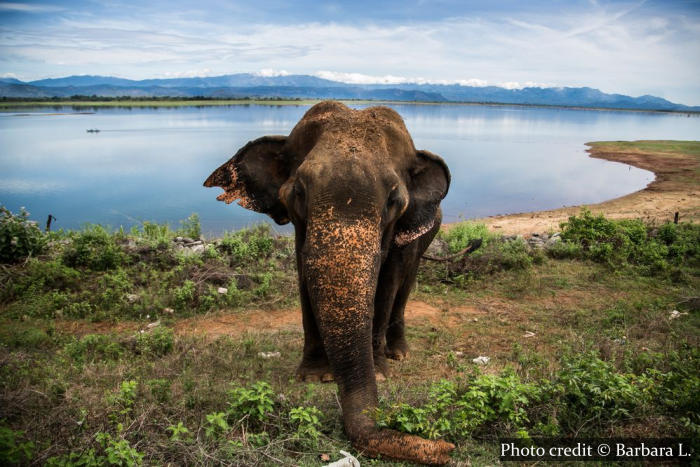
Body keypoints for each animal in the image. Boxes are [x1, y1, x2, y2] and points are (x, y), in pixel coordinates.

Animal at [204, 101, 454, 464]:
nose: (446, 449)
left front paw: (380, 371)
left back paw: (398, 354)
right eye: (298, 192)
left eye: (394, 200)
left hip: (428, 235)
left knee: (405, 284)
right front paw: (312, 376)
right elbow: (304, 279)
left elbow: (386, 284)